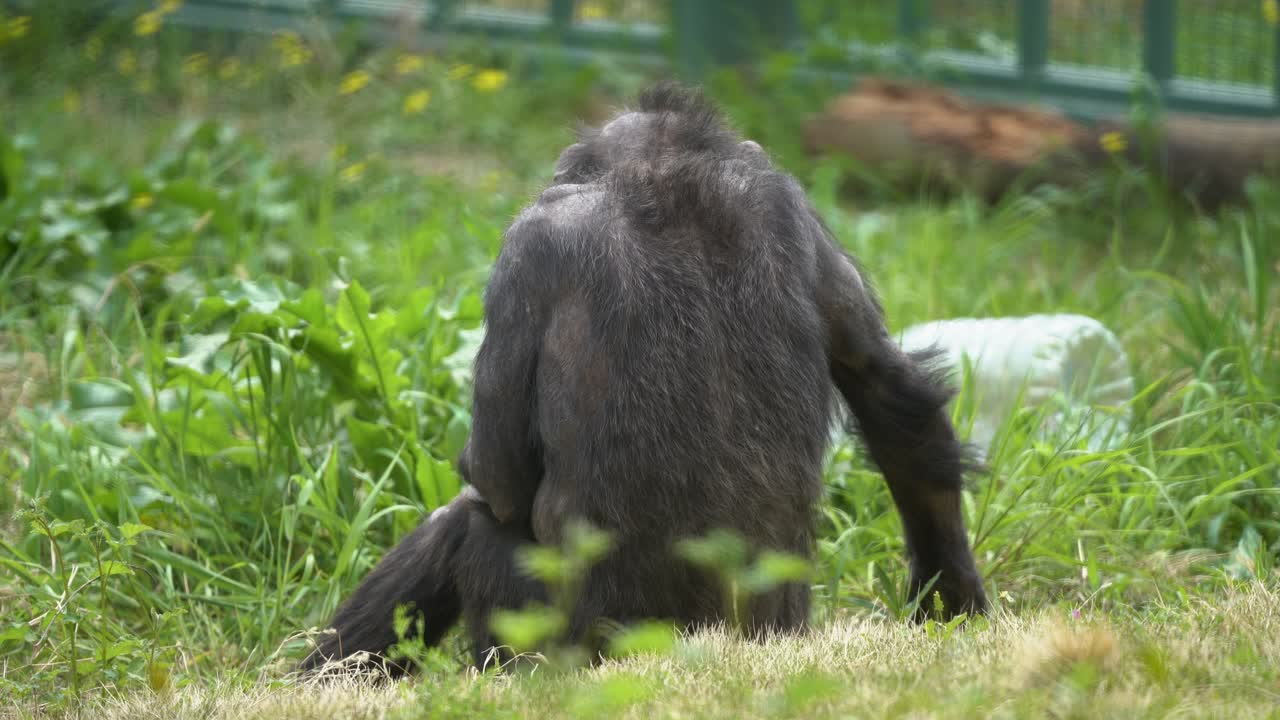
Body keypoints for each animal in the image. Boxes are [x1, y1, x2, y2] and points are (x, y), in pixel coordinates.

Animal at [298, 81, 987, 677]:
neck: (669, 177)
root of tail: (700, 643)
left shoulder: (530, 244)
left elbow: (496, 470)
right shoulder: (794, 206)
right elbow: (888, 387)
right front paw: (952, 599)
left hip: (545, 647)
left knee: (468, 523)